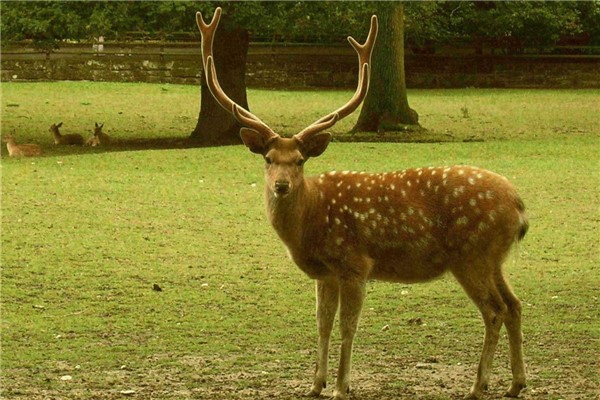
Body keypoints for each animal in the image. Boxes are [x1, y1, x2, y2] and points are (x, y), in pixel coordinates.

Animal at [199, 7, 528, 400]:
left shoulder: (355, 263)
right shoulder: (325, 273)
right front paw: (315, 384)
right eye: (268, 158)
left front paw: (342, 386)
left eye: (300, 160)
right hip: (494, 259)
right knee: (515, 305)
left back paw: (478, 386)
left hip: (471, 255)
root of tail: (519, 205)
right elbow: (322, 324)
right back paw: (516, 384)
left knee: (494, 311)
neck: (310, 223)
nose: (281, 185)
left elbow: (348, 326)